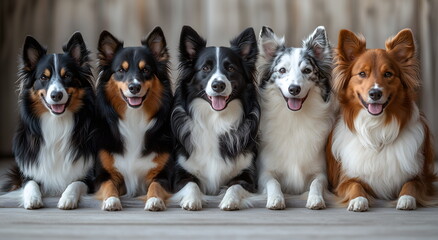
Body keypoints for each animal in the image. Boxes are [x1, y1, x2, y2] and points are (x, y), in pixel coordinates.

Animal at [326, 29, 436, 211]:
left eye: (388, 74)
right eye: (362, 73)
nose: (375, 93)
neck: (376, 128)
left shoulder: (422, 179)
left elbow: (411, 184)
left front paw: (406, 199)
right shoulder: (343, 181)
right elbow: (354, 185)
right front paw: (358, 200)